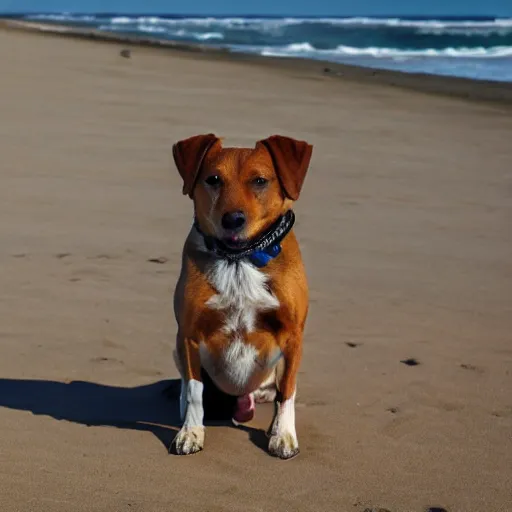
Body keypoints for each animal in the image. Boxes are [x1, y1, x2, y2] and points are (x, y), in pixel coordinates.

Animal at [172, 133, 312, 460]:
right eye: (213, 179)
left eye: (260, 181)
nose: (233, 219)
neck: (238, 259)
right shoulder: (188, 335)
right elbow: (195, 390)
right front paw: (191, 432)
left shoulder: (292, 336)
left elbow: (287, 391)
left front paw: (283, 434)